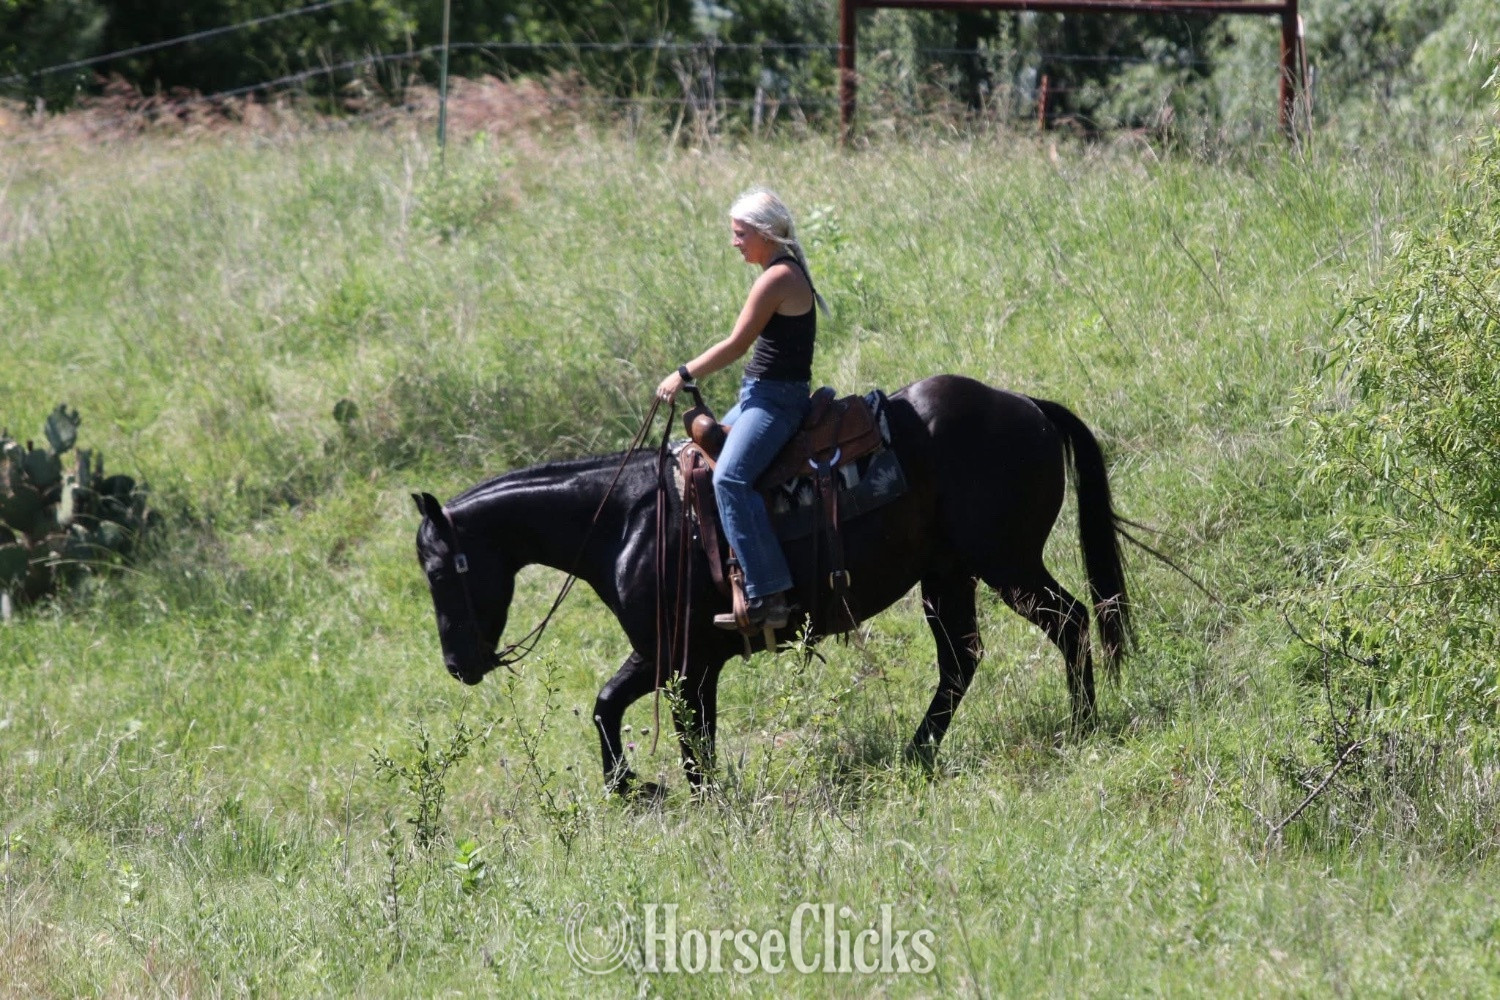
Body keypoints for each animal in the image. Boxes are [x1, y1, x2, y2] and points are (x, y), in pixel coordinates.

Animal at [412, 374, 1131, 796]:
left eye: (441, 571)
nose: (457, 664)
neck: (629, 522)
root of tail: (1026, 406)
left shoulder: (679, 660)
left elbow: (676, 735)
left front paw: (690, 797)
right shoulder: (676, 657)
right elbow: (616, 707)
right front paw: (635, 786)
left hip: (1006, 562)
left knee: (1069, 622)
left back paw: (1081, 723)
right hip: (947, 575)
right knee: (961, 659)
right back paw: (915, 752)